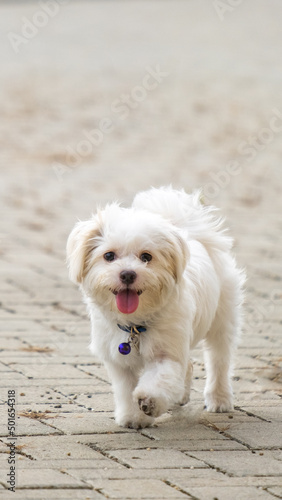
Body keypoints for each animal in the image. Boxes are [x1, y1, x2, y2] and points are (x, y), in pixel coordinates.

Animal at [66, 186, 245, 428]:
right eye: (109, 255)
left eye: (146, 257)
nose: (128, 274)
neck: (136, 324)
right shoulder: (118, 359)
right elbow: (126, 388)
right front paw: (133, 417)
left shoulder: (166, 351)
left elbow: (161, 378)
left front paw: (150, 401)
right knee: (188, 366)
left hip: (222, 320)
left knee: (219, 360)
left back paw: (219, 399)